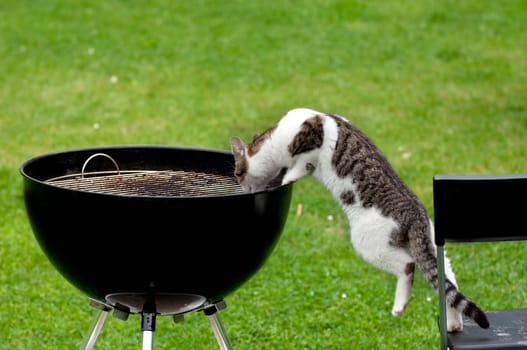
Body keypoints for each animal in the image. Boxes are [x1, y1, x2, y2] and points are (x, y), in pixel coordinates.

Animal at [231, 108, 490, 332]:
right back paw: (452, 324)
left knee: (407, 266)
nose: (241, 187)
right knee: (448, 284)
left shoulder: (312, 140)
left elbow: (300, 166)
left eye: (237, 172)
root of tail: (416, 215)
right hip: (432, 249)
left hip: (367, 242)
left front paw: (286, 178)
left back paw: (400, 306)